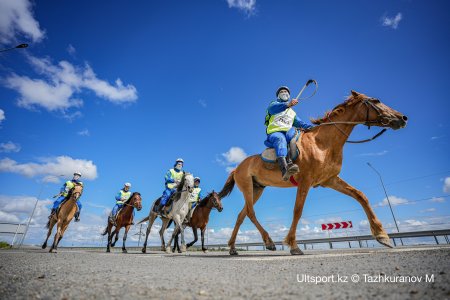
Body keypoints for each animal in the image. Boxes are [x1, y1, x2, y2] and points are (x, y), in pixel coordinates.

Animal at [218, 91, 408, 255]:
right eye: (376, 100)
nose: (402, 118)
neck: (323, 143)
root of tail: (236, 168)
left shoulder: (330, 180)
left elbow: (361, 196)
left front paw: (382, 235)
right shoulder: (305, 181)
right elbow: (297, 210)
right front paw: (293, 245)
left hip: (257, 189)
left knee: (241, 215)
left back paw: (233, 248)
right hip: (248, 188)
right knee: (250, 213)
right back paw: (269, 242)